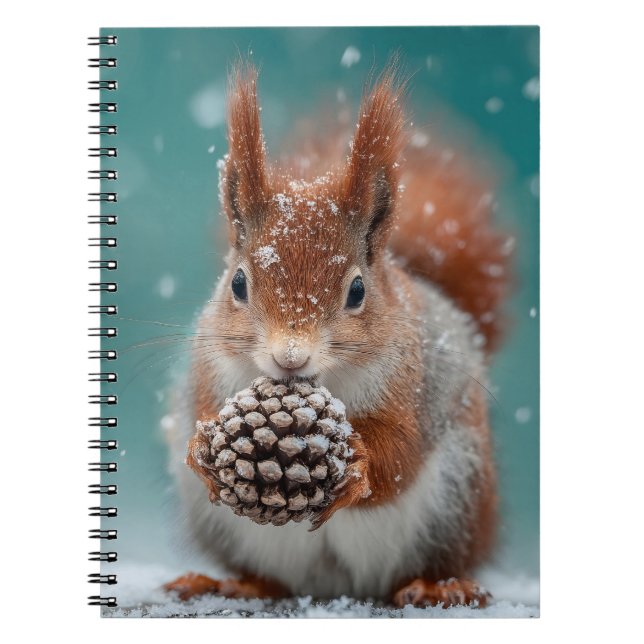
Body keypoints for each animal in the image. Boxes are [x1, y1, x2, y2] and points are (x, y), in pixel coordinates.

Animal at [164, 61, 513, 608]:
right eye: (238, 283)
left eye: (357, 291)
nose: (290, 358)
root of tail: (332, 588)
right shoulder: (210, 368)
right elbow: (202, 409)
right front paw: (201, 448)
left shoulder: (414, 388)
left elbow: (400, 453)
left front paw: (361, 466)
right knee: (269, 579)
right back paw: (234, 581)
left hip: (457, 494)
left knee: (431, 560)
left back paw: (438, 586)